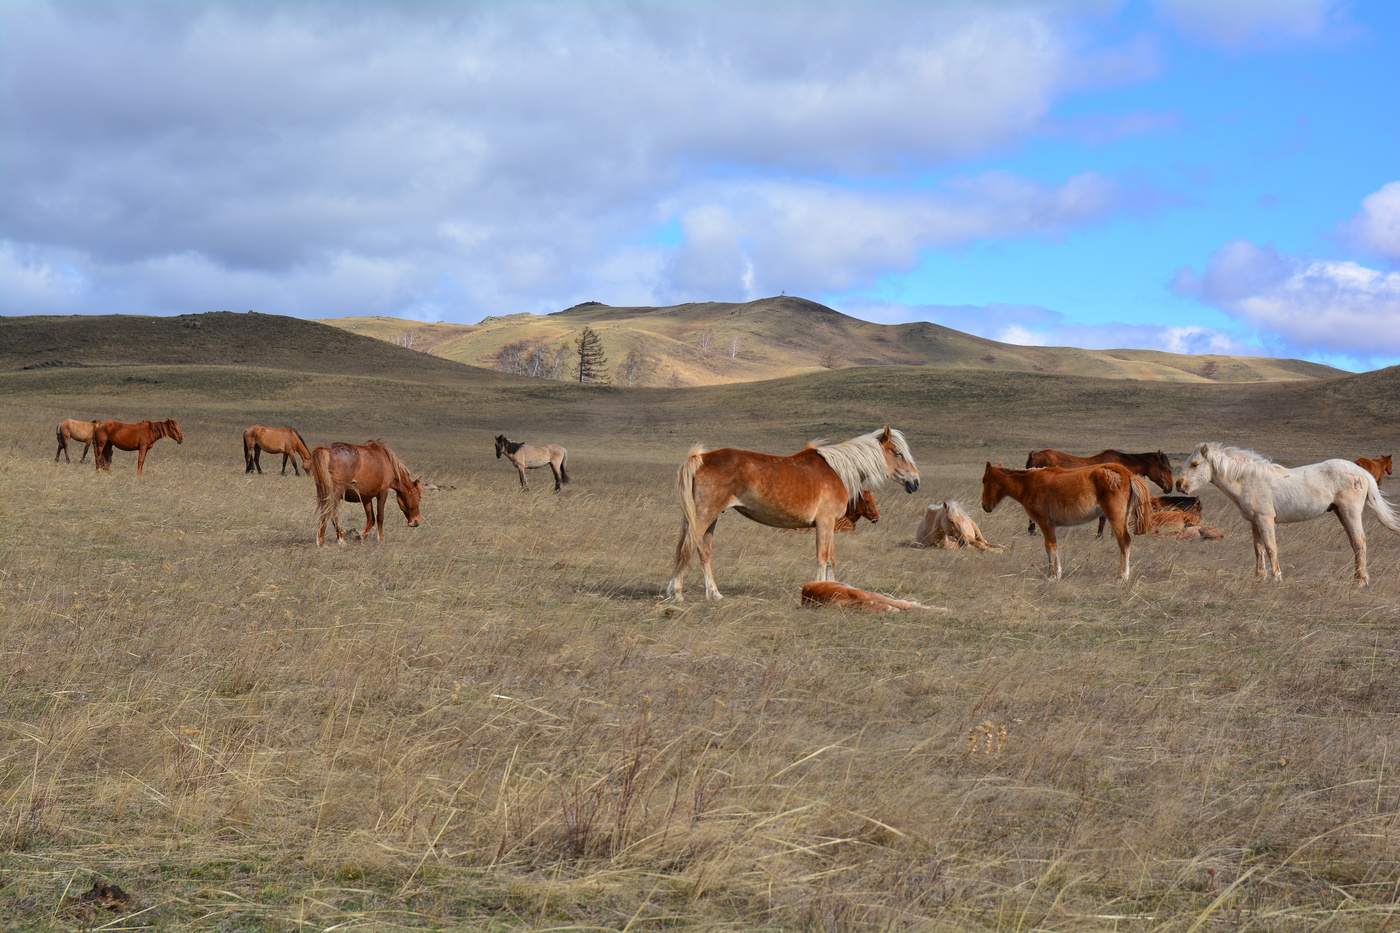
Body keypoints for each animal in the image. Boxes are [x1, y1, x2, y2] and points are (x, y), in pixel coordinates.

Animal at [663, 425, 918, 599]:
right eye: (897, 452)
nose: (915, 482)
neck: (837, 471)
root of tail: (700, 458)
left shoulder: (831, 526)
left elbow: (831, 559)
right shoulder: (824, 523)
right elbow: (822, 558)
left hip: (705, 518)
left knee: (703, 551)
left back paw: (714, 594)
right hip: (704, 516)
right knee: (687, 548)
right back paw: (677, 593)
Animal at [985, 459, 1148, 582]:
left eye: (984, 481)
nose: (985, 506)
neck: (1030, 483)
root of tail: (1128, 475)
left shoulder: (1046, 524)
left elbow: (1051, 547)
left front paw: (1054, 575)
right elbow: (1050, 548)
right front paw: (1051, 572)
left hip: (1116, 518)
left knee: (1124, 542)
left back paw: (1122, 577)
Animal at [1170, 437, 1400, 582]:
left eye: (1195, 464)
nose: (1179, 485)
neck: (1248, 480)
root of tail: (1361, 472)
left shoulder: (1265, 519)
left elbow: (1271, 547)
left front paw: (1276, 578)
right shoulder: (1255, 521)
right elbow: (1258, 549)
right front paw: (1260, 577)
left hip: (1350, 512)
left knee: (1360, 542)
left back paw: (1361, 581)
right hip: (1340, 512)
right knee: (1354, 543)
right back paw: (1356, 578)